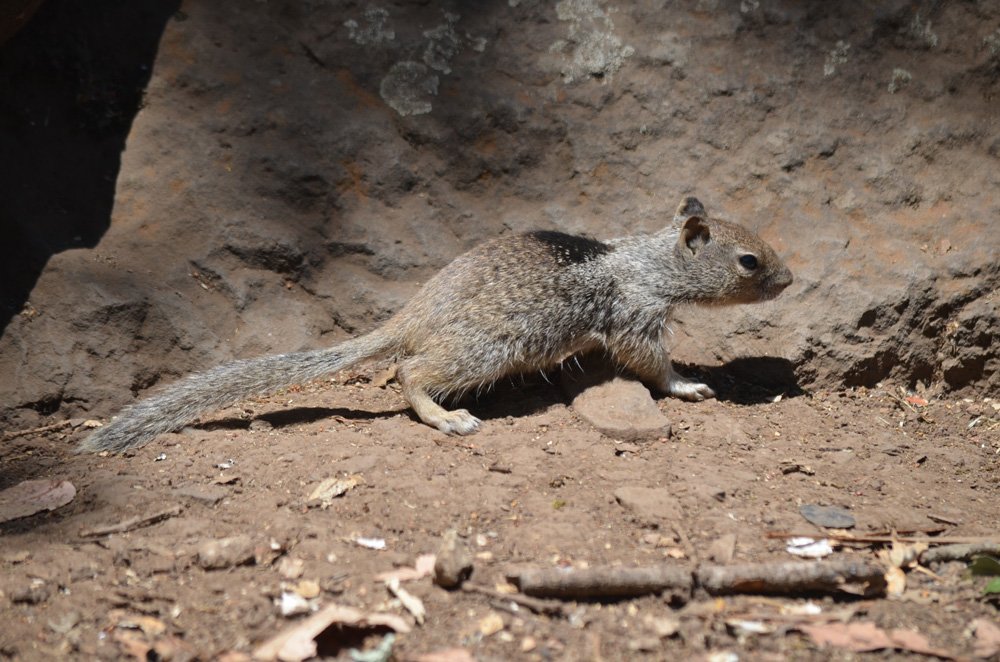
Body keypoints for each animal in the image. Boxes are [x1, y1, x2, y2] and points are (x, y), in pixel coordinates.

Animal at [79, 197, 793, 453]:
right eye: (750, 261)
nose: (790, 281)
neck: (649, 257)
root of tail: (414, 312)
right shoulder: (637, 316)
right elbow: (652, 365)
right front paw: (689, 386)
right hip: (487, 350)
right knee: (408, 369)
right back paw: (445, 417)